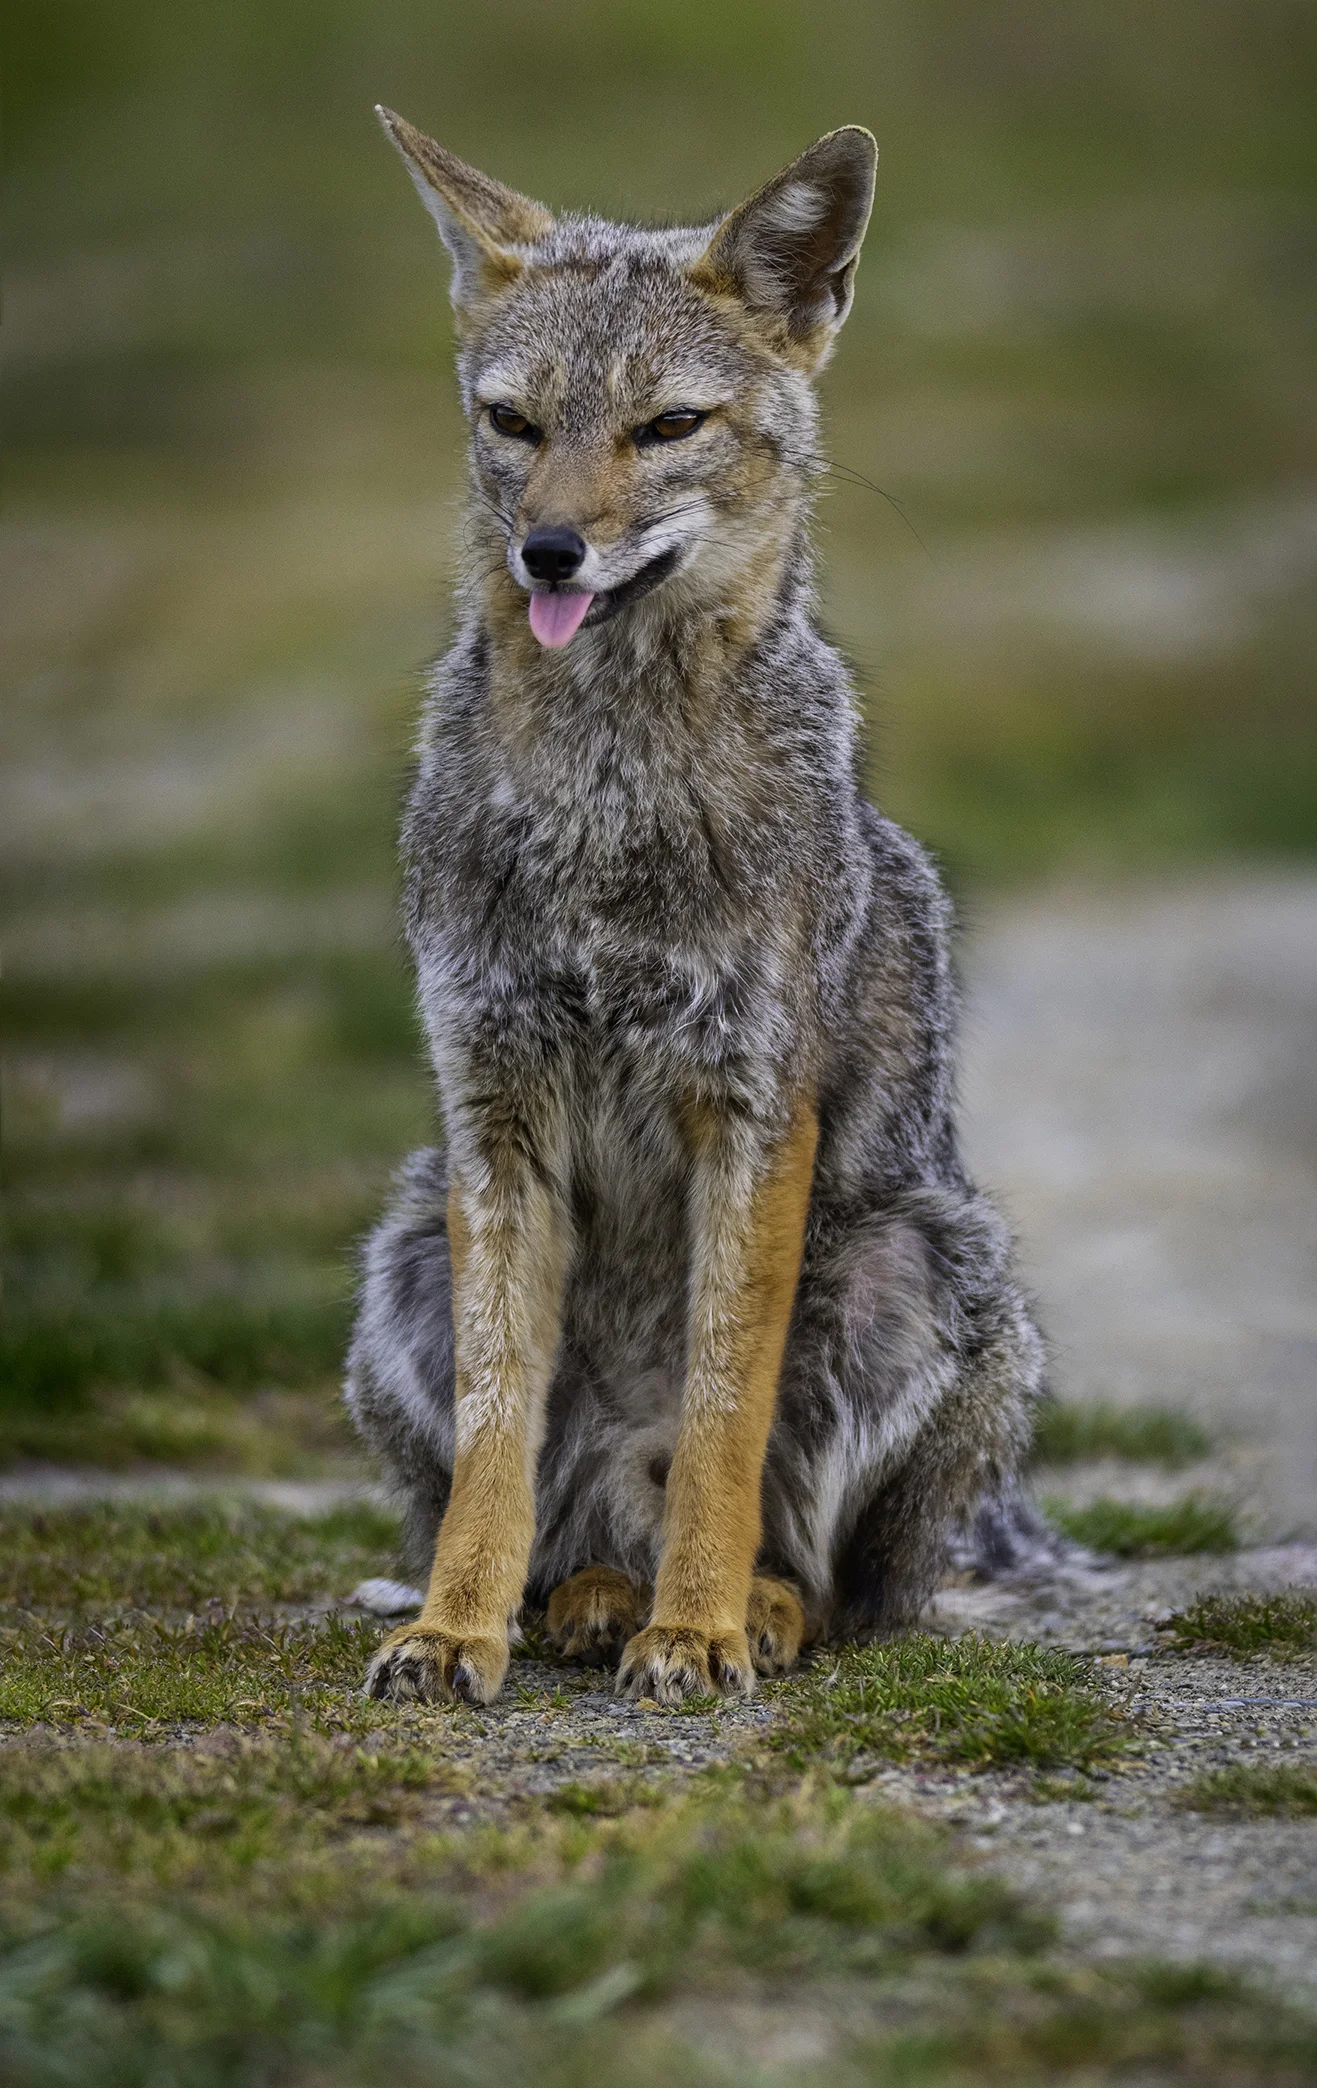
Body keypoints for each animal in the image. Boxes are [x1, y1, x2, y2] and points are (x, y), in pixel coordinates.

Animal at [345, 109, 1053, 1709]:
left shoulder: (752, 1103)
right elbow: (495, 1443)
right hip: (412, 1241)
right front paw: (453, 1628)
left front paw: (702, 1629)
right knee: (566, 1518)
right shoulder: (493, 1109)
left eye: (665, 428)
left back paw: (749, 1607)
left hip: (917, 1259)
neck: (607, 805)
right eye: (515, 424)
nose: (549, 553)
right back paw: (585, 1597)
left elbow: (727, 1415)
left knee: (839, 1580)